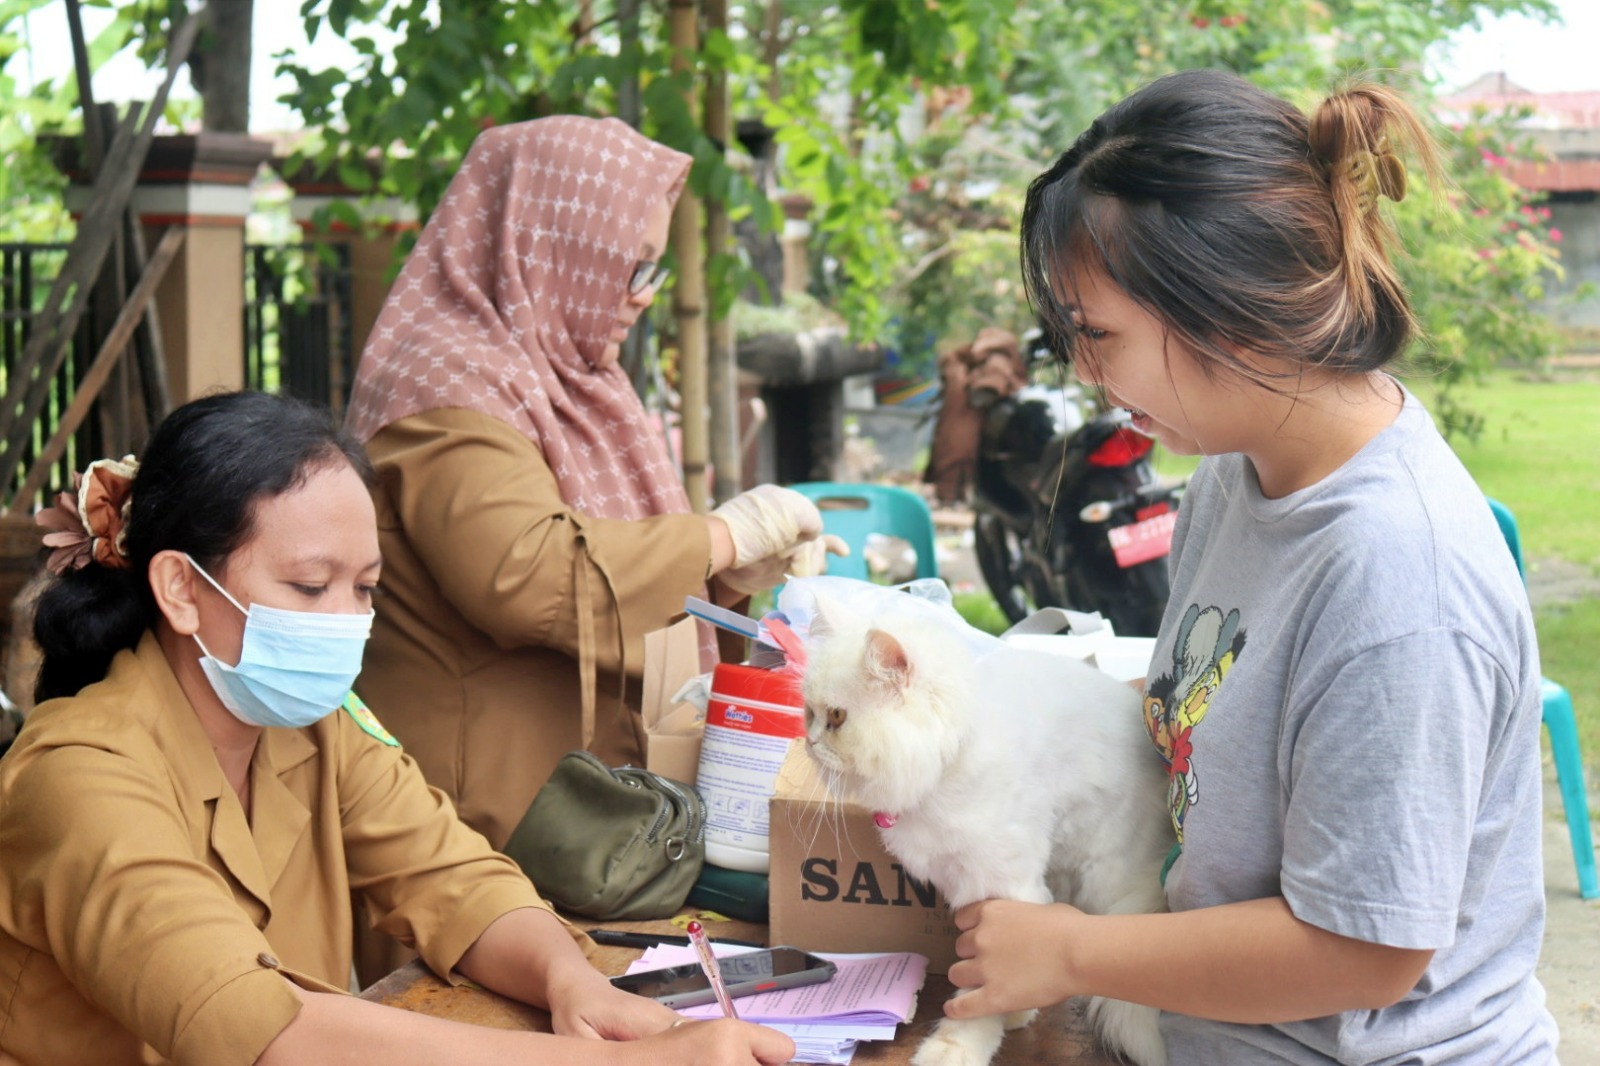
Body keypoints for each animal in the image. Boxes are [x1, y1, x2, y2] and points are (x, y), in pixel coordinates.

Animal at [793, 585, 1171, 1056]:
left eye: (837, 718)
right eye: (809, 713)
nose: (808, 741)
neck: (949, 760)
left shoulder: (1001, 889)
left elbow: (982, 992)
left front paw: (959, 1046)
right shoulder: (971, 884)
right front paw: (1018, 1015)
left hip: (1105, 878)